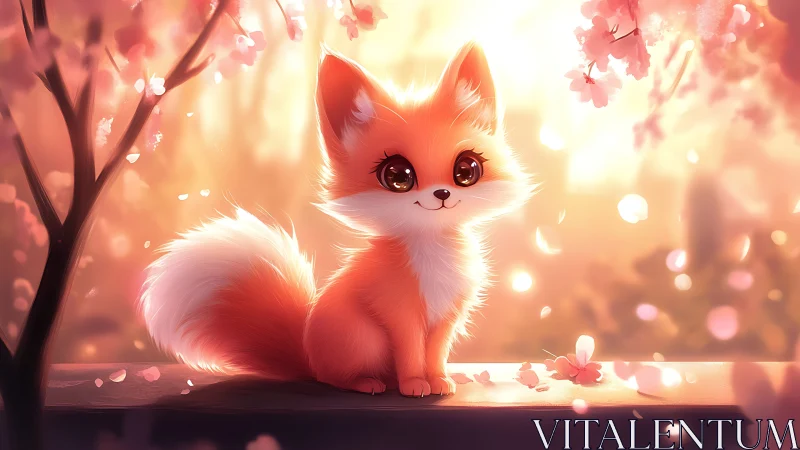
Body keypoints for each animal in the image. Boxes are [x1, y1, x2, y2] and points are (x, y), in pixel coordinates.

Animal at [139, 41, 534, 397]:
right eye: (398, 176)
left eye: (467, 170)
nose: (442, 194)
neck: (433, 252)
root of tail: (307, 354)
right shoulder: (399, 313)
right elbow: (411, 353)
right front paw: (414, 385)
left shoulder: (448, 315)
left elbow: (435, 354)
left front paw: (439, 381)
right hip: (365, 339)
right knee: (334, 378)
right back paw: (368, 384)